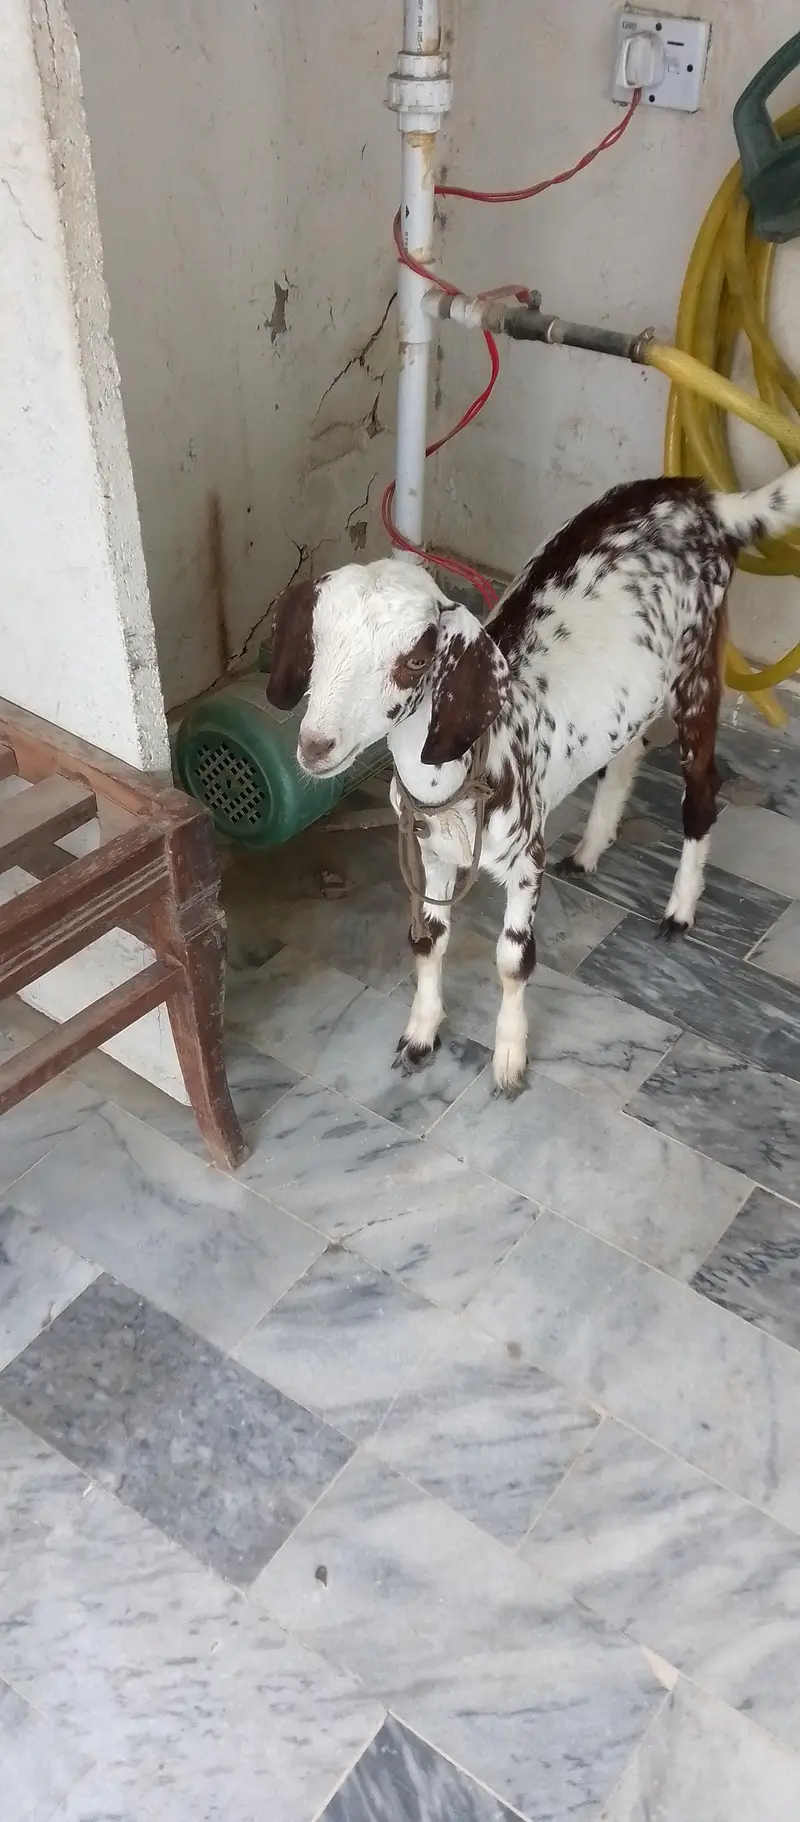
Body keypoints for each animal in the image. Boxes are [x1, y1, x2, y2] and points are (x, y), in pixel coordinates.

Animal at [267, 469, 800, 1097]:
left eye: (416, 660)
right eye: (317, 640)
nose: (316, 746)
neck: (469, 765)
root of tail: (703, 497)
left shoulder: (525, 860)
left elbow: (512, 960)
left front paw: (509, 1061)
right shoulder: (431, 852)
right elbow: (428, 939)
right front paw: (421, 1036)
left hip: (699, 664)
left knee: (702, 789)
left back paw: (679, 909)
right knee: (627, 750)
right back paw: (591, 849)